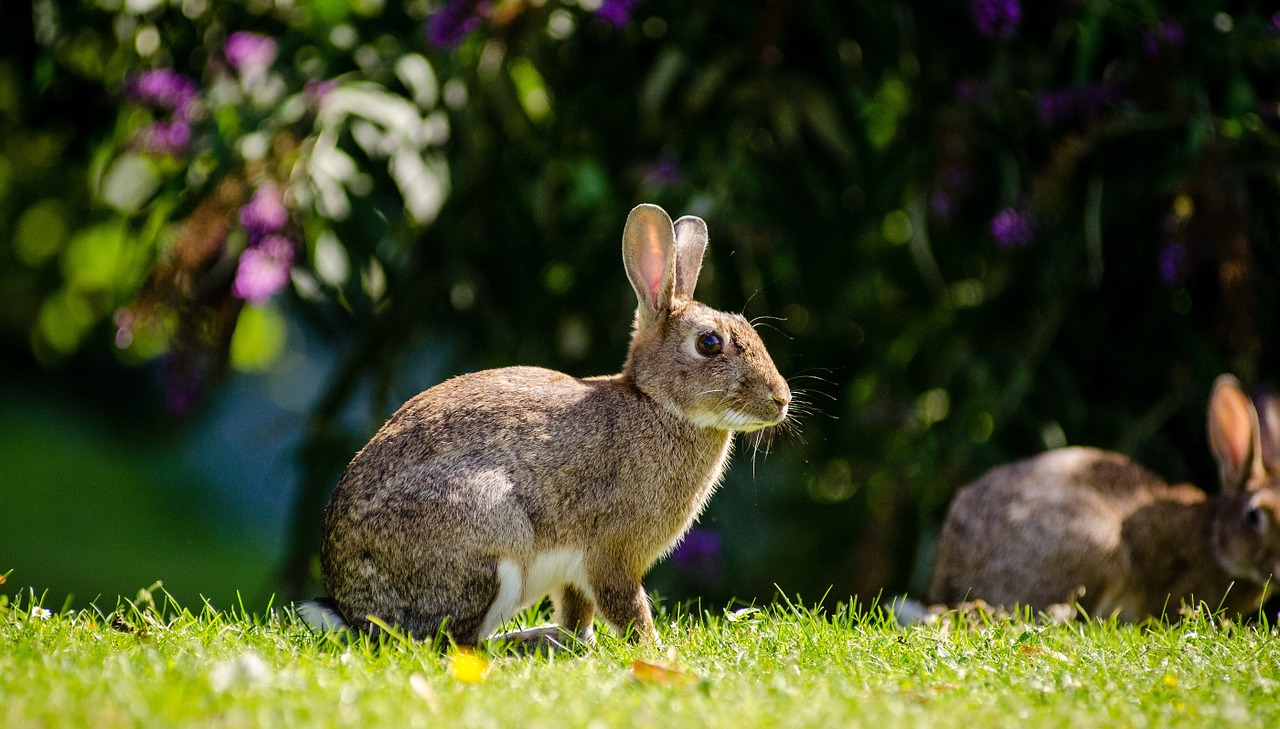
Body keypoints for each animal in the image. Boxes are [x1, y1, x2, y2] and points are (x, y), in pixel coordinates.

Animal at [296, 202, 788, 644]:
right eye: (709, 343)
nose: (781, 400)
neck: (656, 403)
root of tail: (351, 610)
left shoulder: (577, 572)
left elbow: (578, 610)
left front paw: (577, 641)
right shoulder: (610, 553)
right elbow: (625, 605)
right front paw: (655, 649)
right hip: (491, 539)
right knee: (453, 642)